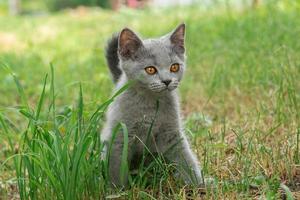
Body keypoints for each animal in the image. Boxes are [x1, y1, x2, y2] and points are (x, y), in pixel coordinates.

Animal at [101, 23, 204, 188]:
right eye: (150, 69)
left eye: (174, 67)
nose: (167, 81)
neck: (150, 103)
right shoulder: (120, 136)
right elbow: (116, 167)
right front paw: (118, 190)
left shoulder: (171, 133)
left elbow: (186, 158)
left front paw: (200, 184)